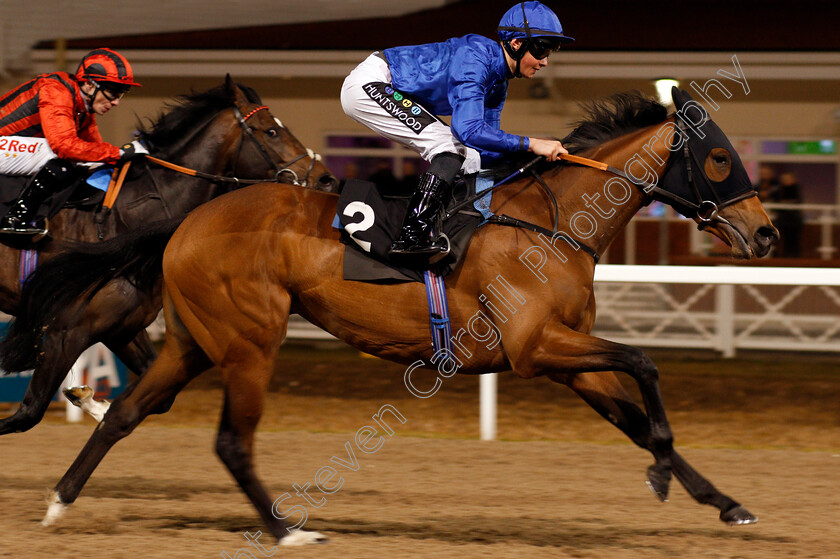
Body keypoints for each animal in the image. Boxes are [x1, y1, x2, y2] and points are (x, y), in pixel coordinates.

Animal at [0, 74, 334, 436]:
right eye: (270, 131)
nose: (325, 178)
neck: (126, 216)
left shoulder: (122, 328)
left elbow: (159, 398)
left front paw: (92, 401)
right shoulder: (66, 329)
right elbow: (28, 413)